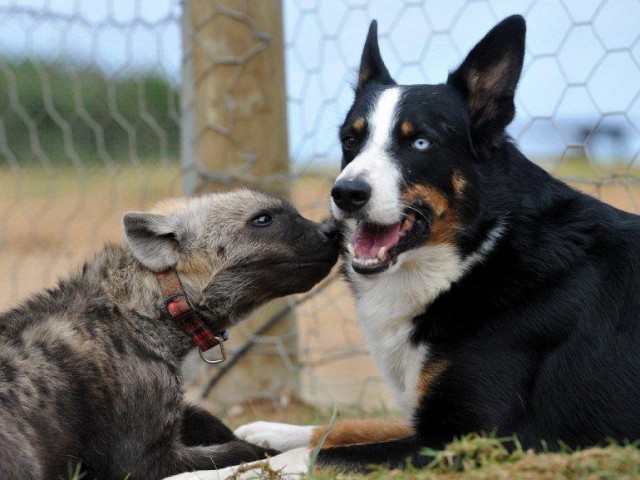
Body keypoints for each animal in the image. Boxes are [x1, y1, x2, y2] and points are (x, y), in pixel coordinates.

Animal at [181, 14, 640, 476]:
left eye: (420, 142)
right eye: (351, 140)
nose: (346, 193)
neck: (475, 257)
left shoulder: (474, 439)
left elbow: (319, 453)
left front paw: (209, 472)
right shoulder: (428, 422)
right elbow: (346, 427)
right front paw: (269, 430)